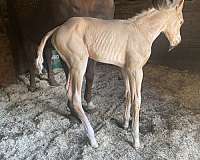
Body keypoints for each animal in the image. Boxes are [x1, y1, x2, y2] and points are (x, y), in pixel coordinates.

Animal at [35, 0, 184, 148]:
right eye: (181, 21)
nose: (176, 43)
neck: (141, 31)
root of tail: (59, 28)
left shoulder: (125, 69)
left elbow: (127, 94)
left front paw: (125, 124)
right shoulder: (136, 70)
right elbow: (137, 99)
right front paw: (136, 140)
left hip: (71, 66)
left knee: (68, 90)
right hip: (79, 64)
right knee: (75, 97)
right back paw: (92, 139)